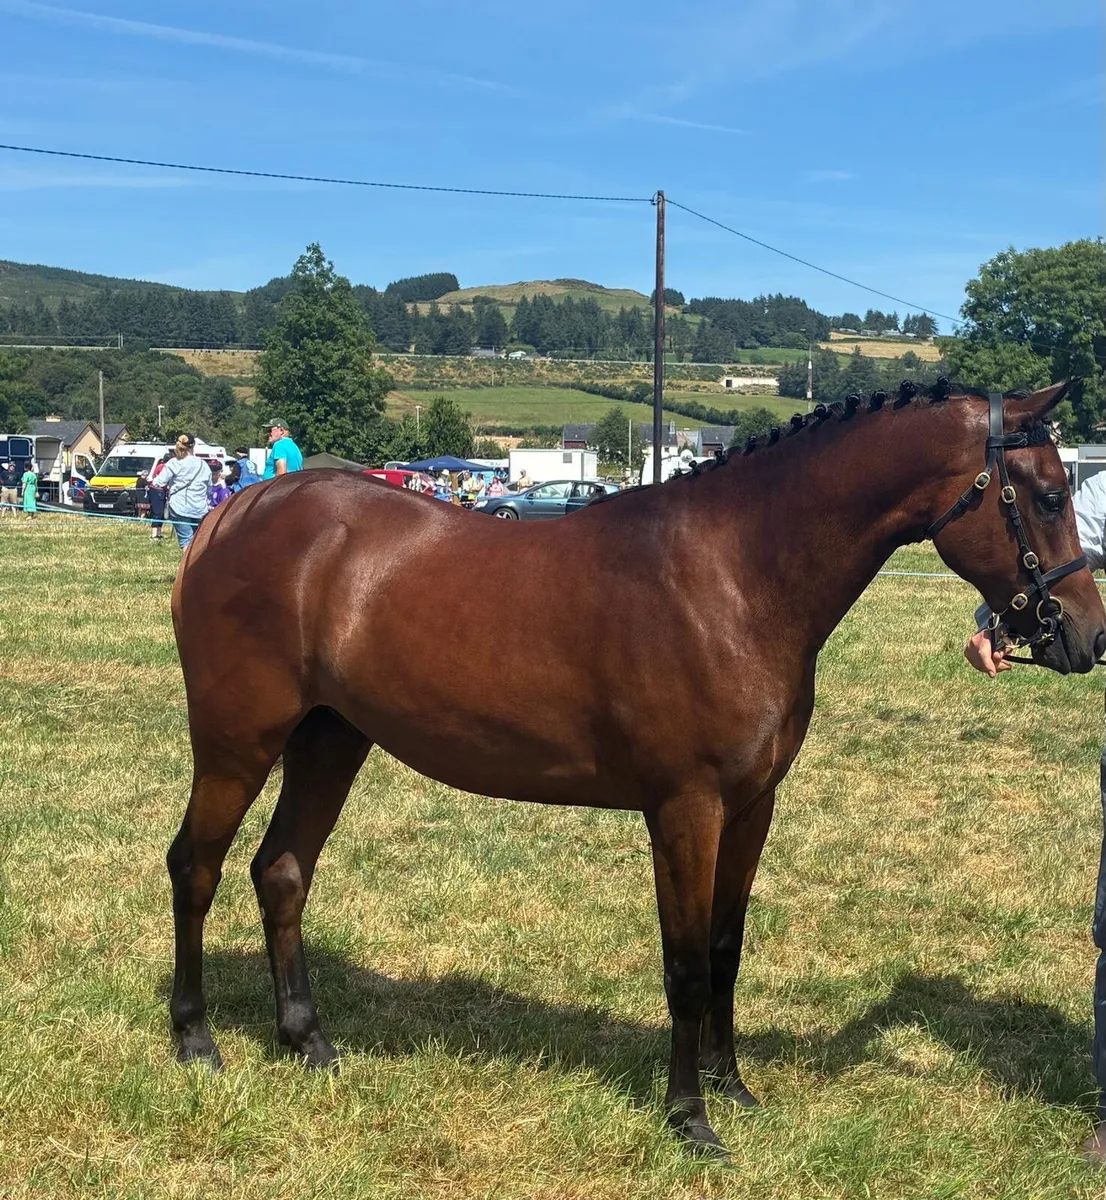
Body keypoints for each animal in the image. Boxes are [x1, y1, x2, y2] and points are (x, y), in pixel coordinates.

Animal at [165, 380, 1105, 1157]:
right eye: (1051, 495)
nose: (1088, 636)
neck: (733, 574)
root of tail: (234, 513)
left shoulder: (752, 806)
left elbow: (725, 949)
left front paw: (734, 1087)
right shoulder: (685, 809)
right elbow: (684, 966)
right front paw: (691, 1119)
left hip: (330, 741)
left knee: (282, 871)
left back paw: (308, 1040)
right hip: (237, 743)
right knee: (196, 868)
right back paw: (196, 1041)